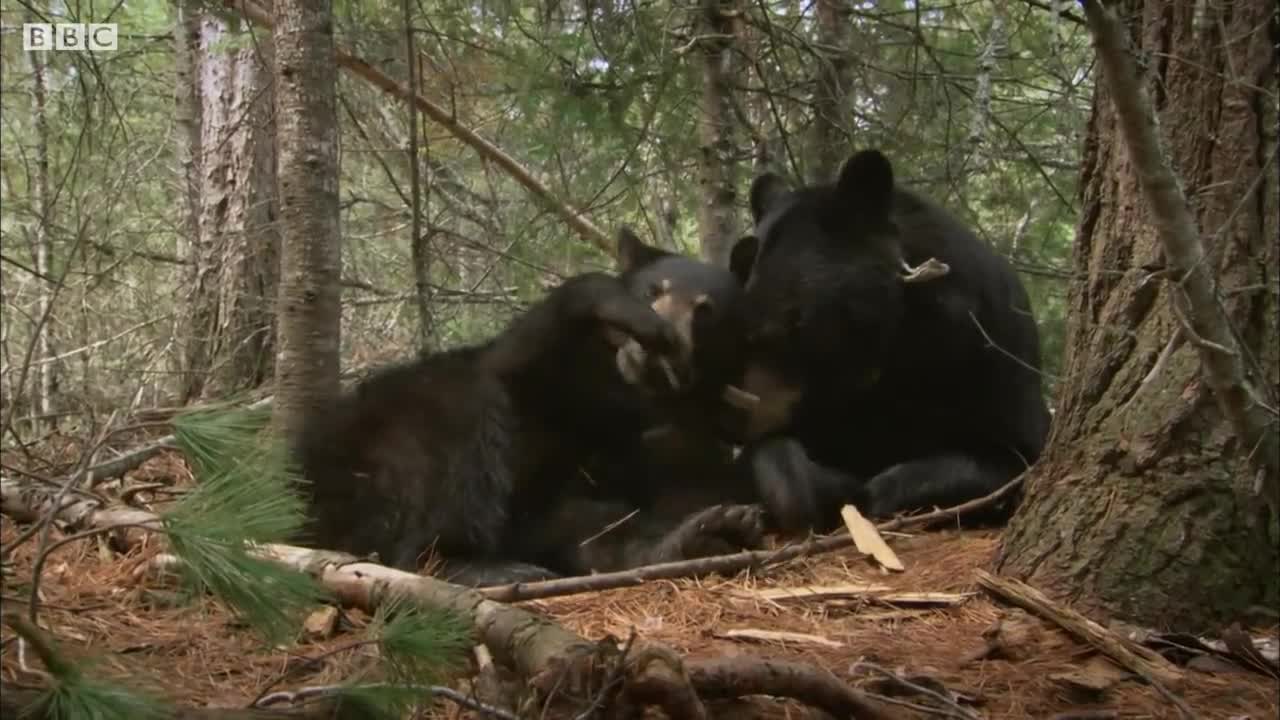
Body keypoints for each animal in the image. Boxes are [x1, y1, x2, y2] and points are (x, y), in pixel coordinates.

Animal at [298, 226, 757, 586]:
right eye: (652, 290)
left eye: (705, 310)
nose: (660, 346)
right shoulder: (546, 374)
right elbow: (528, 343)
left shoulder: (682, 445)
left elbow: (649, 506)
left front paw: (701, 527)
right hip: (393, 440)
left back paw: (711, 532)